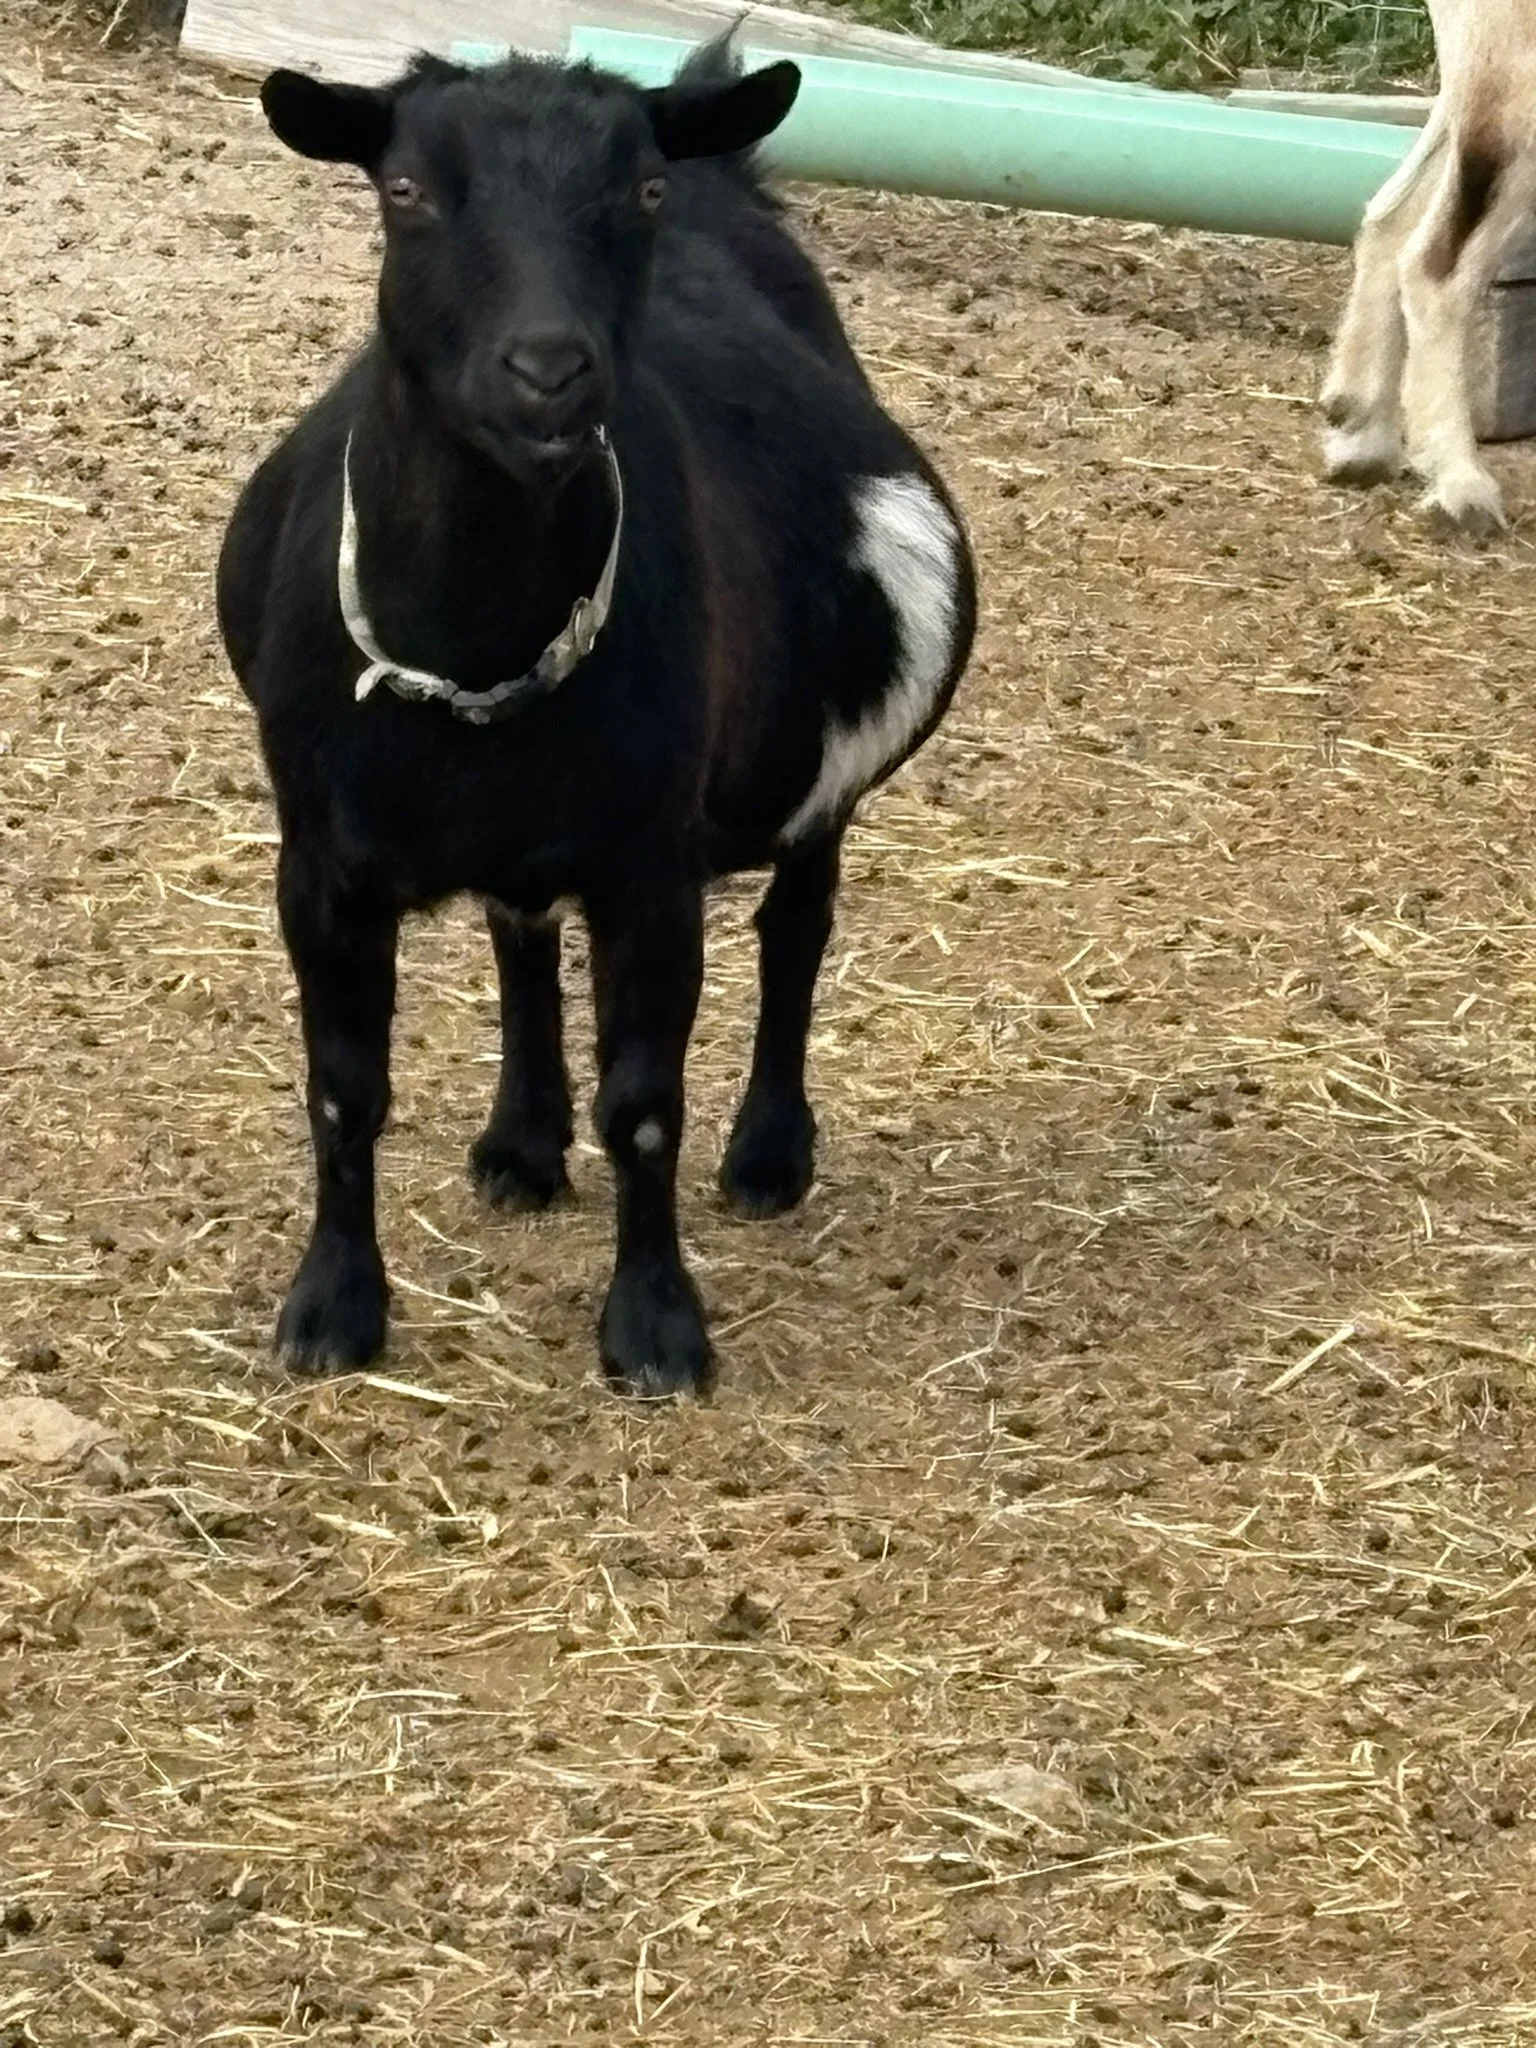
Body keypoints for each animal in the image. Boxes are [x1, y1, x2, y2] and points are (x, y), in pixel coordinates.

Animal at [216, 40, 977, 1397]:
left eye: (641, 192)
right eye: (405, 189)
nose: (549, 371)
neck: (473, 653)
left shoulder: (648, 867)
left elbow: (647, 1105)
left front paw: (656, 1327)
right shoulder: (318, 859)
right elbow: (344, 1089)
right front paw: (332, 1310)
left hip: (820, 768)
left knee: (798, 925)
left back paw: (769, 1153)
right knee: (520, 932)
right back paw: (522, 1142)